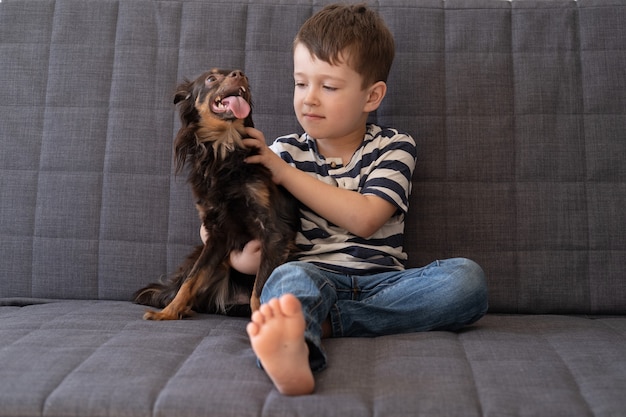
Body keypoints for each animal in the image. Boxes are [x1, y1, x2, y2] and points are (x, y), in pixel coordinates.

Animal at [133, 70, 298, 320]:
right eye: (211, 79)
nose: (241, 74)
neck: (224, 152)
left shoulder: (274, 231)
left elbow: (259, 290)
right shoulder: (217, 235)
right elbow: (190, 280)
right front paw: (168, 313)